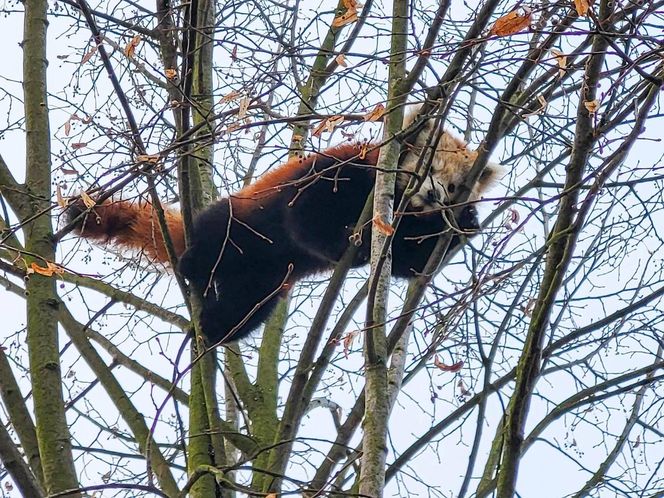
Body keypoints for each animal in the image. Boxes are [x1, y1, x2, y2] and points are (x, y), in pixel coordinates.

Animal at [71, 109, 498, 344]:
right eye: (430, 165)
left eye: (456, 185)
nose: (437, 195)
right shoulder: (337, 173)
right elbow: (305, 219)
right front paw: (351, 248)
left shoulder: (403, 227)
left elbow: (411, 263)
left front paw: (466, 223)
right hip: (236, 221)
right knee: (215, 240)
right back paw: (194, 264)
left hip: (267, 280)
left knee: (247, 308)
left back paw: (215, 327)